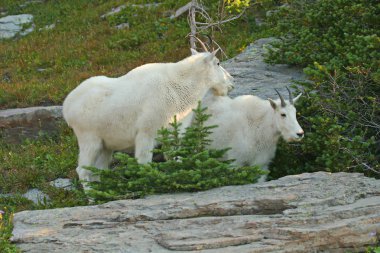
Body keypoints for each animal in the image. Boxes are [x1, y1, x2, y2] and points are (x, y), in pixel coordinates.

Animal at [62, 48, 233, 183]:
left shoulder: (173, 132)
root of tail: (67, 106)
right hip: (89, 139)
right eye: (218, 63)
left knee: (99, 170)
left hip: (106, 145)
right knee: (83, 170)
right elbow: (144, 163)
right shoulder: (146, 132)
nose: (231, 82)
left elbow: (175, 158)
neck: (180, 88)